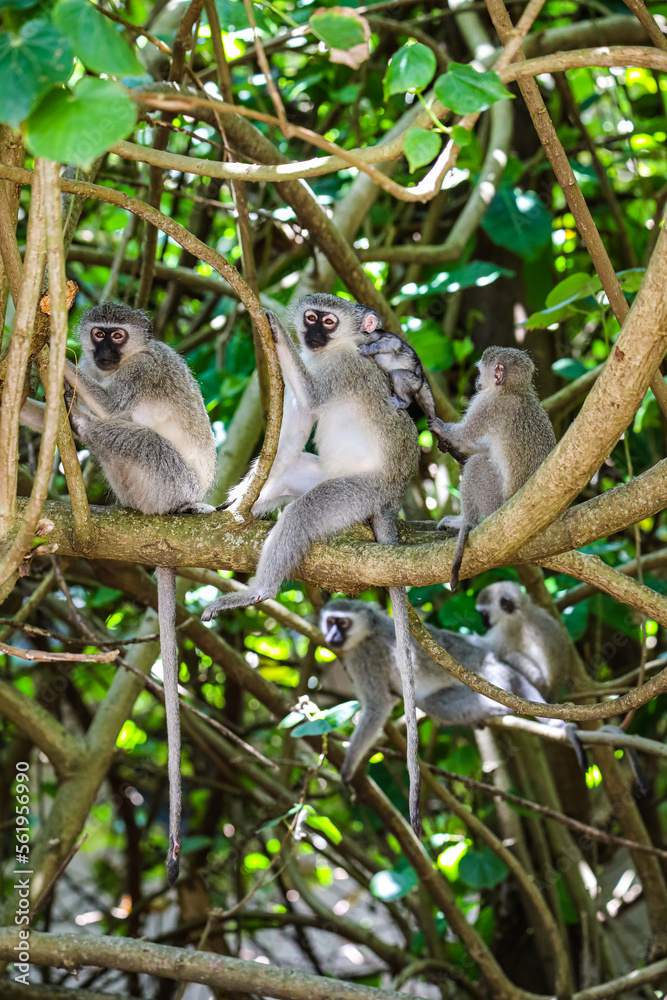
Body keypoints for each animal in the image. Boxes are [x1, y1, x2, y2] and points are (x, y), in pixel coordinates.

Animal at [21, 303, 217, 886]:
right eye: (99, 335)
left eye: (119, 336)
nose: (103, 352)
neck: (121, 362)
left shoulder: (146, 368)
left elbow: (111, 401)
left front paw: (52, 350)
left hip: (170, 481)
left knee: (126, 431)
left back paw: (86, 425)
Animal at [202, 294, 425, 833]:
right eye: (312, 318)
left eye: (327, 320)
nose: (312, 333)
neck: (336, 350)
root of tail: (389, 497)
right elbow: (299, 415)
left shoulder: (343, 369)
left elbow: (314, 396)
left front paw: (271, 324)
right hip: (327, 477)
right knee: (292, 473)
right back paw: (246, 504)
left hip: (352, 495)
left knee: (305, 511)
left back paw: (258, 590)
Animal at [320, 598, 578, 785]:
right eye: (330, 622)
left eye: (342, 623)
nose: (332, 636)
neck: (369, 631)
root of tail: (490, 661)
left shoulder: (365, 657)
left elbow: (377, 706)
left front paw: (347, 767)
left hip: (492, 679)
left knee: (438, 705)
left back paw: (497, 708)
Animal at [437, 347, 556, 590]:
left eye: (479, 371)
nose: (476, 382)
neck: (513, 389)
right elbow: (482, 446)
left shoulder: (487, 403)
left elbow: (464, 435)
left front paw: (440, 427)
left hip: (494, 504)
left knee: (476, 465)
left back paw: (465, 521)